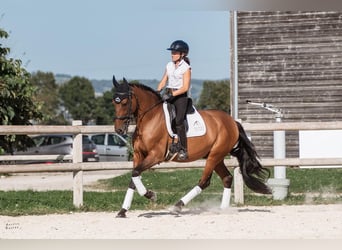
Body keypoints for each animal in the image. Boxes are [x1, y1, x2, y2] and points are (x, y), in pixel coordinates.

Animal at [113, 75, 272, 217]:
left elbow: (135, 173)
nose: (119, 130)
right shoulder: (139, 155)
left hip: (214, 156)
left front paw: (151, 195)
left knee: (204, 181)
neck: (150, 119)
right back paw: (222, 210)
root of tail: (232, 122)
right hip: (216, 156)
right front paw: (123, 211)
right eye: (114, 102)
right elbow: (133, 177)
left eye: (125, 102)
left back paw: (178, 206)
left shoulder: (155, 156)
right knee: (227, 178)